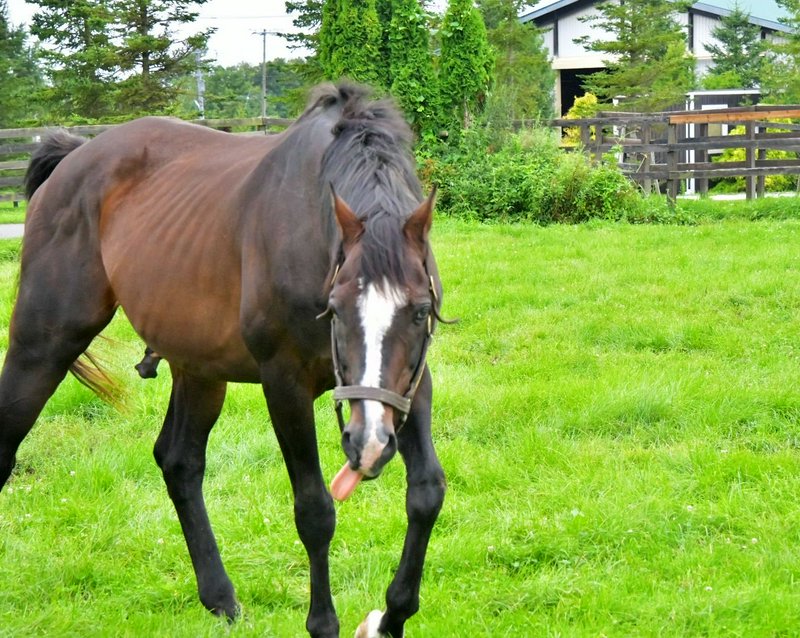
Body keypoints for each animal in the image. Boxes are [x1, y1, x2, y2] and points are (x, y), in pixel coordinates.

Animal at [0, 83, 448, 638]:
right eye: (335, 307)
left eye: (420, 310)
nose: (368, 444)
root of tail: (73, 159)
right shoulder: (285, 385)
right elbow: (315, 511)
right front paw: (323, 622)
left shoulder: (410, 384)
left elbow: (427, 492)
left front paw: (394, 614)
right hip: (41, 346)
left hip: (198, 371)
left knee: (179, 462)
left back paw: (220, 598)